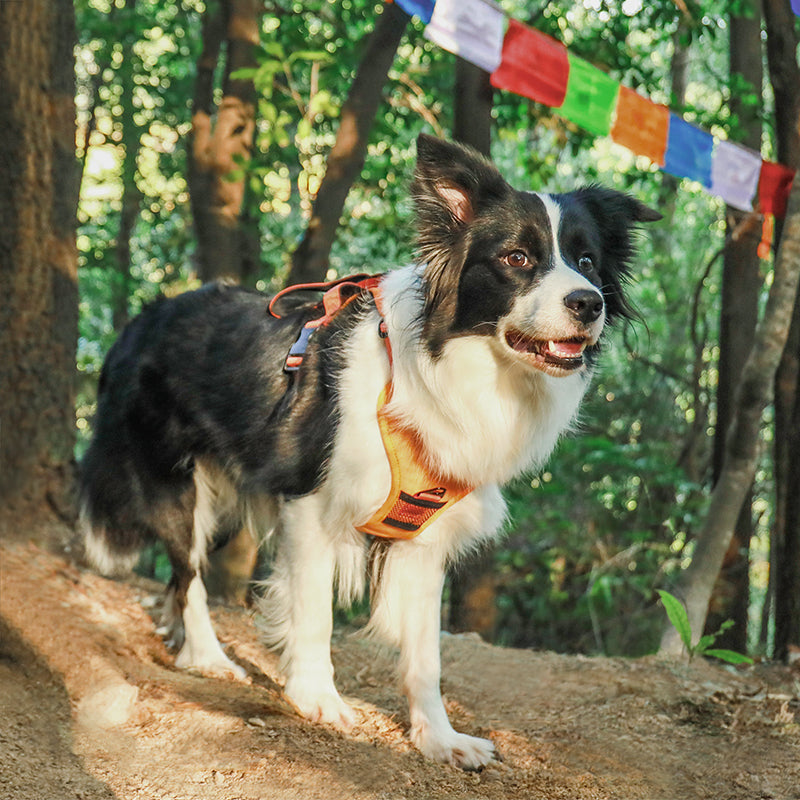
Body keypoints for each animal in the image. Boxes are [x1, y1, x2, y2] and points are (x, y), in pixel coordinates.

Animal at [81, 133, 660, 768]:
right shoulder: (309, 503)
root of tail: (145, 316)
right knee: (187, 571)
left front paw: (438, 737)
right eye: (517, 259)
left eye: (588, 262)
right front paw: (317, 698)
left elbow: (426, 655)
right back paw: (207, 656)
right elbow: (314, 613)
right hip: (176, 484)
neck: (439, 368)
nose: (588, 303)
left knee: (183, 574)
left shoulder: (428, 536)